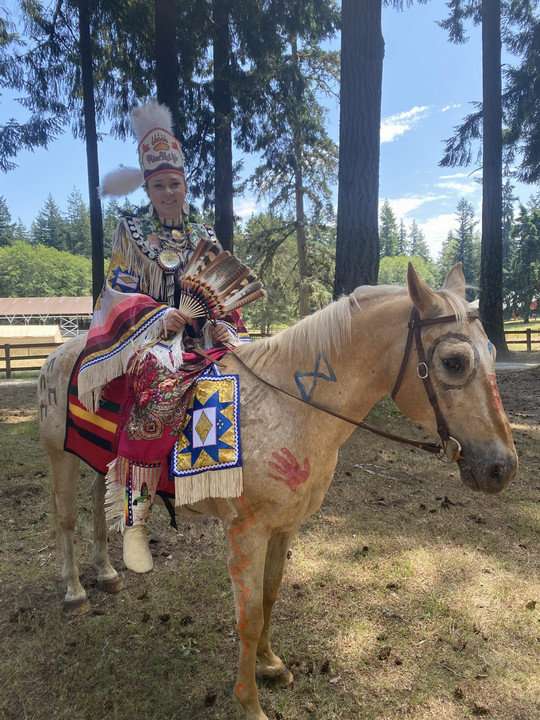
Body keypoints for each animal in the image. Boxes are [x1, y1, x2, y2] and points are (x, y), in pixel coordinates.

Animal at [38, 263, 517, 720]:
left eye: (493, 352)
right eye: (454, 362)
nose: (502, 468)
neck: (291, 406)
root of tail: (60, 353)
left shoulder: (286, 526)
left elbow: (269, 597)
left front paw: (269, 665)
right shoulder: (246, 533)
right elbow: (248, 617)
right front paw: (250, 704)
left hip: (99, 462)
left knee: (100, 509)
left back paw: (107, 573)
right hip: (61, 457)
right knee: (66, 520)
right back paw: (76, 592)